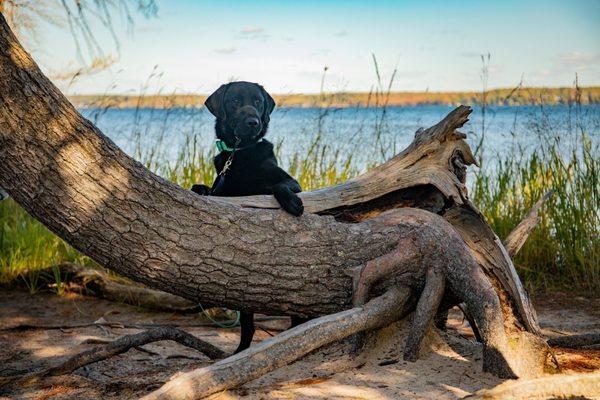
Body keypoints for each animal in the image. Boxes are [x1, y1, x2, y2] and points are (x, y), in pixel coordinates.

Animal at [192, 81, 304, 354]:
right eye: (235, 101)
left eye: (258, 102)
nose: (253, 121)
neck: (240, 152)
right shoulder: (223, 192)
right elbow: (203, 189)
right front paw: (198, 189)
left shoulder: (291, 181)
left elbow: (279, 185)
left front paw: (292, 202)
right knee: (248, 321)